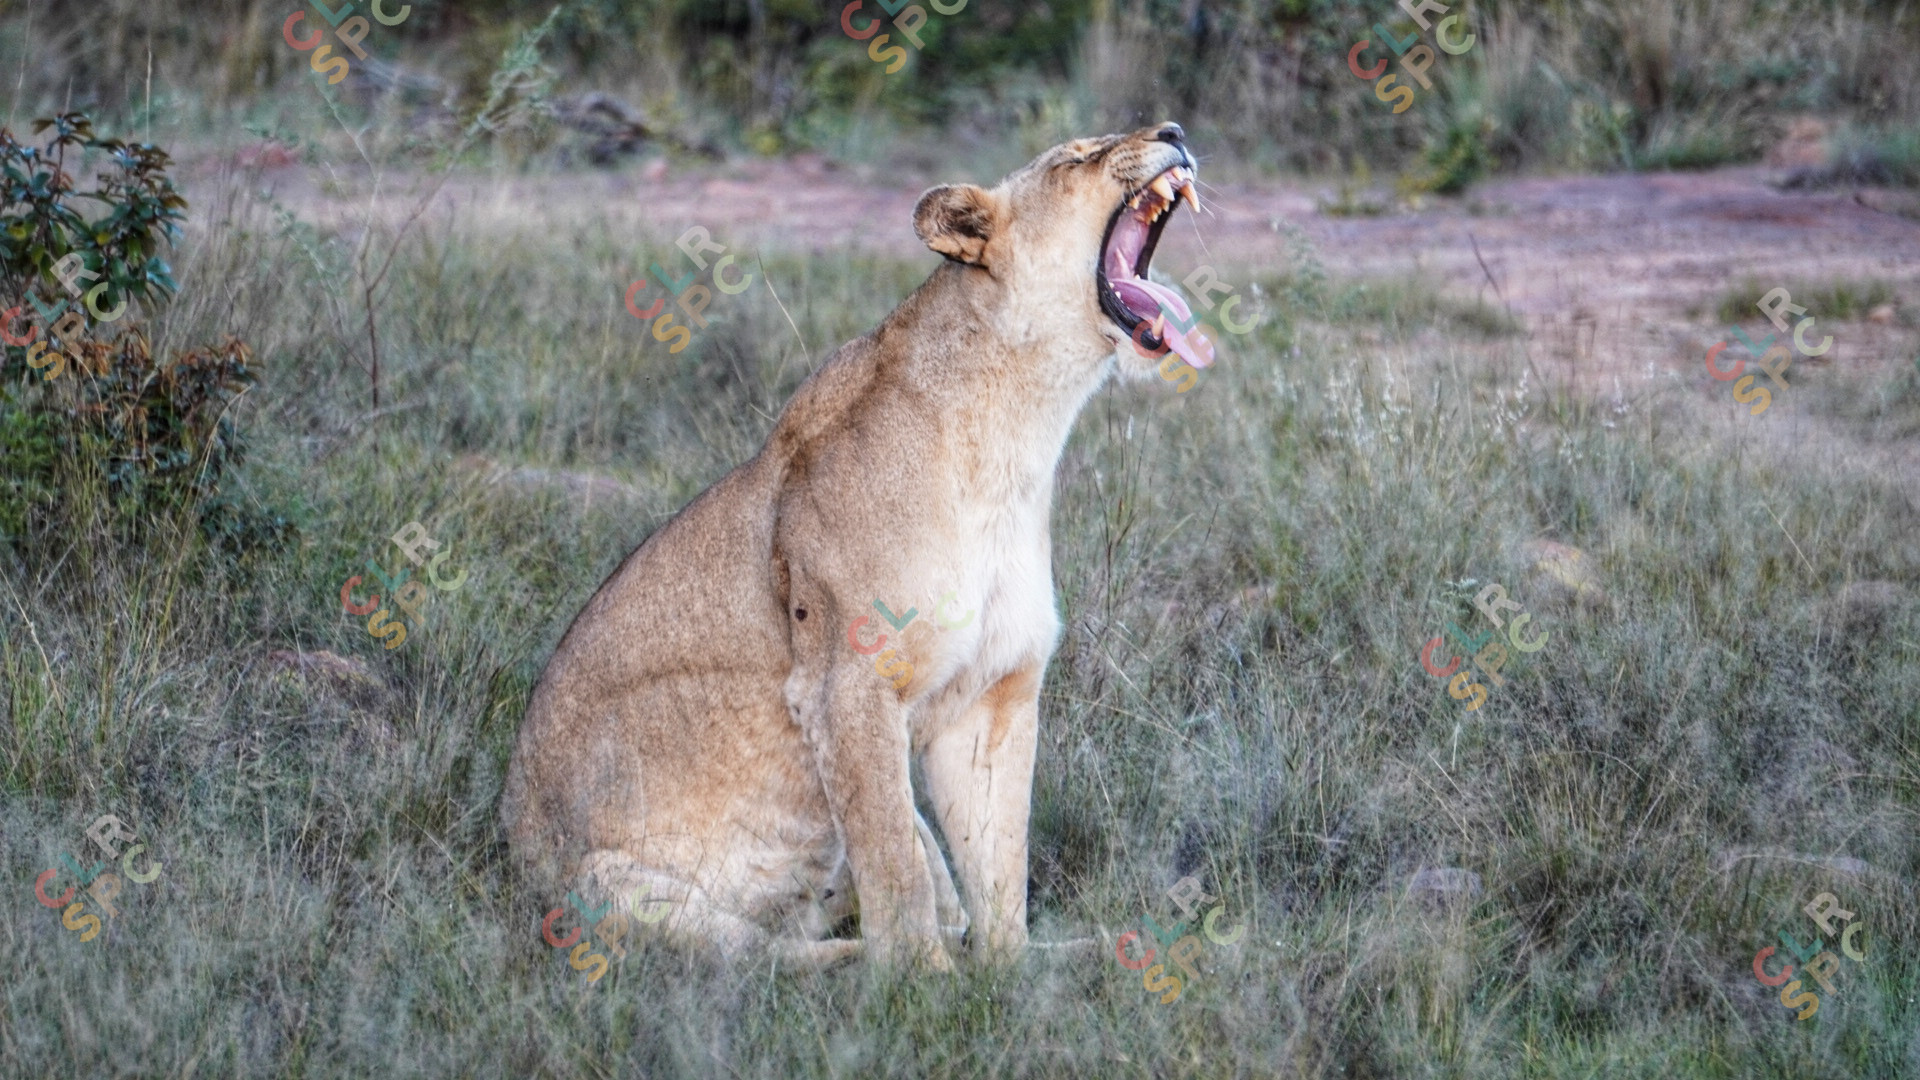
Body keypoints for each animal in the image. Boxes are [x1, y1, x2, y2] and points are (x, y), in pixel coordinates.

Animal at [501, 122, 1214, 968]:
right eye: (1078, 156)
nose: (1173, 132)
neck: (1018, 436)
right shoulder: (848, 681)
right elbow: (892, 862)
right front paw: (924, 984)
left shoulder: (993, 691)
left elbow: (999, 862)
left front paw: (1011, 974)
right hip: (609, 888)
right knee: (751, 960)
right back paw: (855, 963)